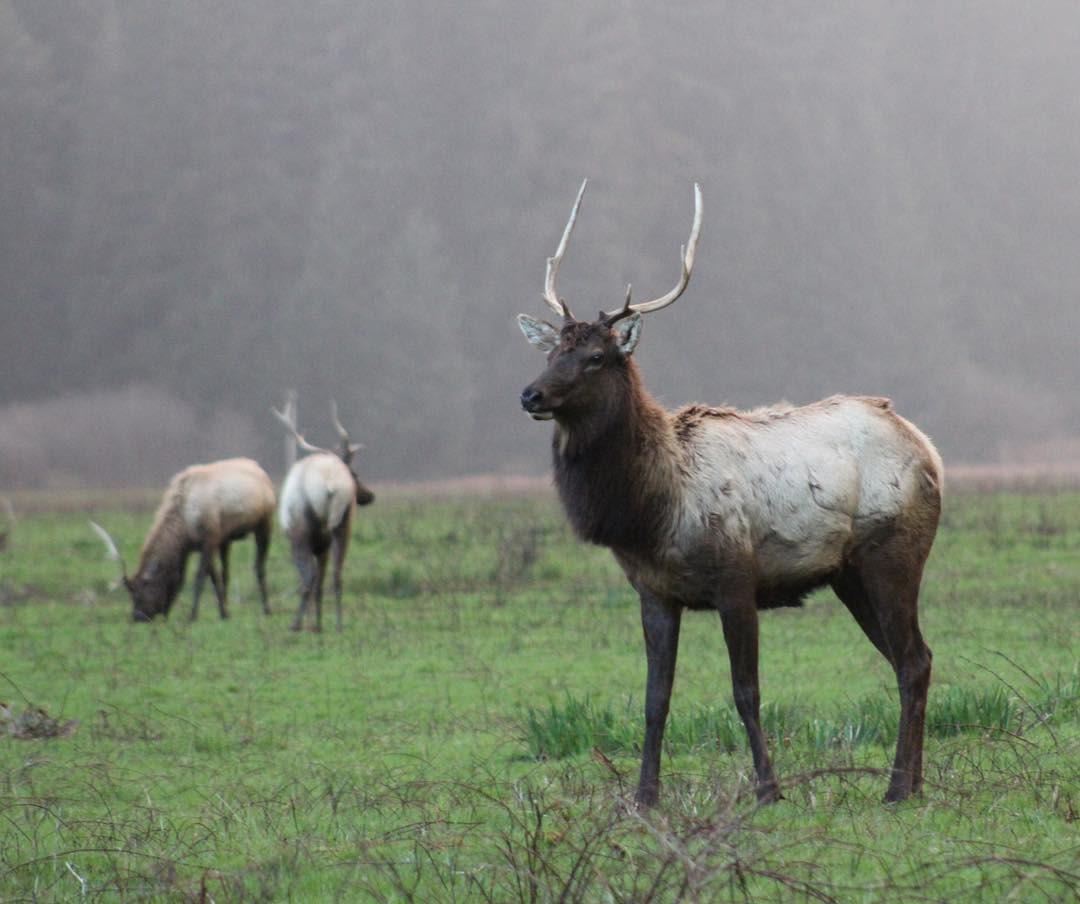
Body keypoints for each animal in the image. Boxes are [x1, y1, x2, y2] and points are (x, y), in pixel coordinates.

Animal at [91, 457, 276, 622]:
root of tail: (262, 472)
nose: (137, 616)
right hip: (226, 539)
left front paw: (193, 615)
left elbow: (199, 578)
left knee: (259, 566)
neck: (184, 527)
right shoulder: (198, 545)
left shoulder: (208, 539)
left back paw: (267, 609)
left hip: (265, 524)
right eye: (132, 594)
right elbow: (201, 578)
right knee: (226, 572)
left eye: (144, 590)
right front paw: (223, 613)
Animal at [272, 403, 373, 635]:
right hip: (343, 524)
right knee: (337, 573)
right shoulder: (322, 544)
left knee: (310, 576)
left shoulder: (309, 542)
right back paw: (338, 624)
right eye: (355, 474)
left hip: (302, 531)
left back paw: (297, 624)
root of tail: (330, 484)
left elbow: (309, 579)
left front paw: (311, 624)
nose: (369, 495)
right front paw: (316, 623)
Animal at [518, 181, 941, 803]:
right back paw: (911, 785)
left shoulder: (736, 578)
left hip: (894, 553)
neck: (651, 512)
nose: (530, 394)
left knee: (912, 659)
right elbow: (655, 700)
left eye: (596, 357)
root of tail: (928, 448)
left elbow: (746, 692)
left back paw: (895, 789)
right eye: (551, 353)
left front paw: (769, 789)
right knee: (914, 658)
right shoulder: (653, 592)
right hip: (849, 576)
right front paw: (644, 796)